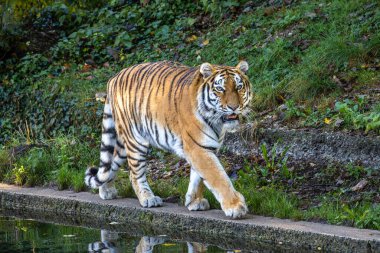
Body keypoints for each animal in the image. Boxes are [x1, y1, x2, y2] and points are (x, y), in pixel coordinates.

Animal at [85, 60, 252, 218]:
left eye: (239, 87)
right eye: (220, 89)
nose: (233, 107)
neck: (217, 121)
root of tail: (114, 77)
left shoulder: (206, 147)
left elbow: (198, 178)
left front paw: (195, 201)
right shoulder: (197, 148)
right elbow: (218, 177)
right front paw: (236, 207)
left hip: (122, 144)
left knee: (110, 163)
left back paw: (107, 191)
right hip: (136, 139)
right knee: (134, 173)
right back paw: (148, 199)